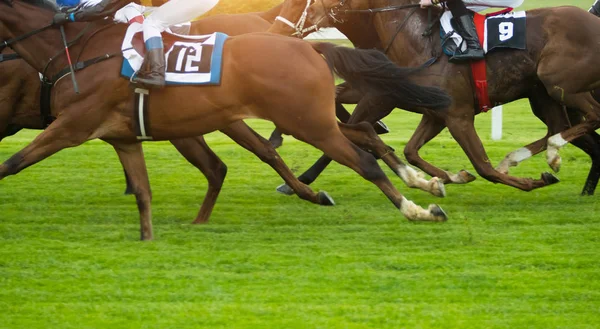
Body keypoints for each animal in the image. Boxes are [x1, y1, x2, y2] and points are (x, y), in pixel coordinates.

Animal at [0, 0, 450, 241]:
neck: (78, 53)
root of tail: (310, 48)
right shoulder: (121, 136)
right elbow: (143, 189)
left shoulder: (71, 126)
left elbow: (12, 162)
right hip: (305, 118)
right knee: (363, 134)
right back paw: (422, 182)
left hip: (304, 123)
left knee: (363, 161)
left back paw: (417, 209)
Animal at [300, 0, 600, 193]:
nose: (308, 13)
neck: (420, 43)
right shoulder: (435, 113)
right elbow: (410, 151)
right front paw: (450, 177)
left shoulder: (457, 115)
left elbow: (483, 167)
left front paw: (531, 182)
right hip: (545, 93)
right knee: (560, 126)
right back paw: (522, 158)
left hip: (558, 82)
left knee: (587, 118)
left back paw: (550, 153)